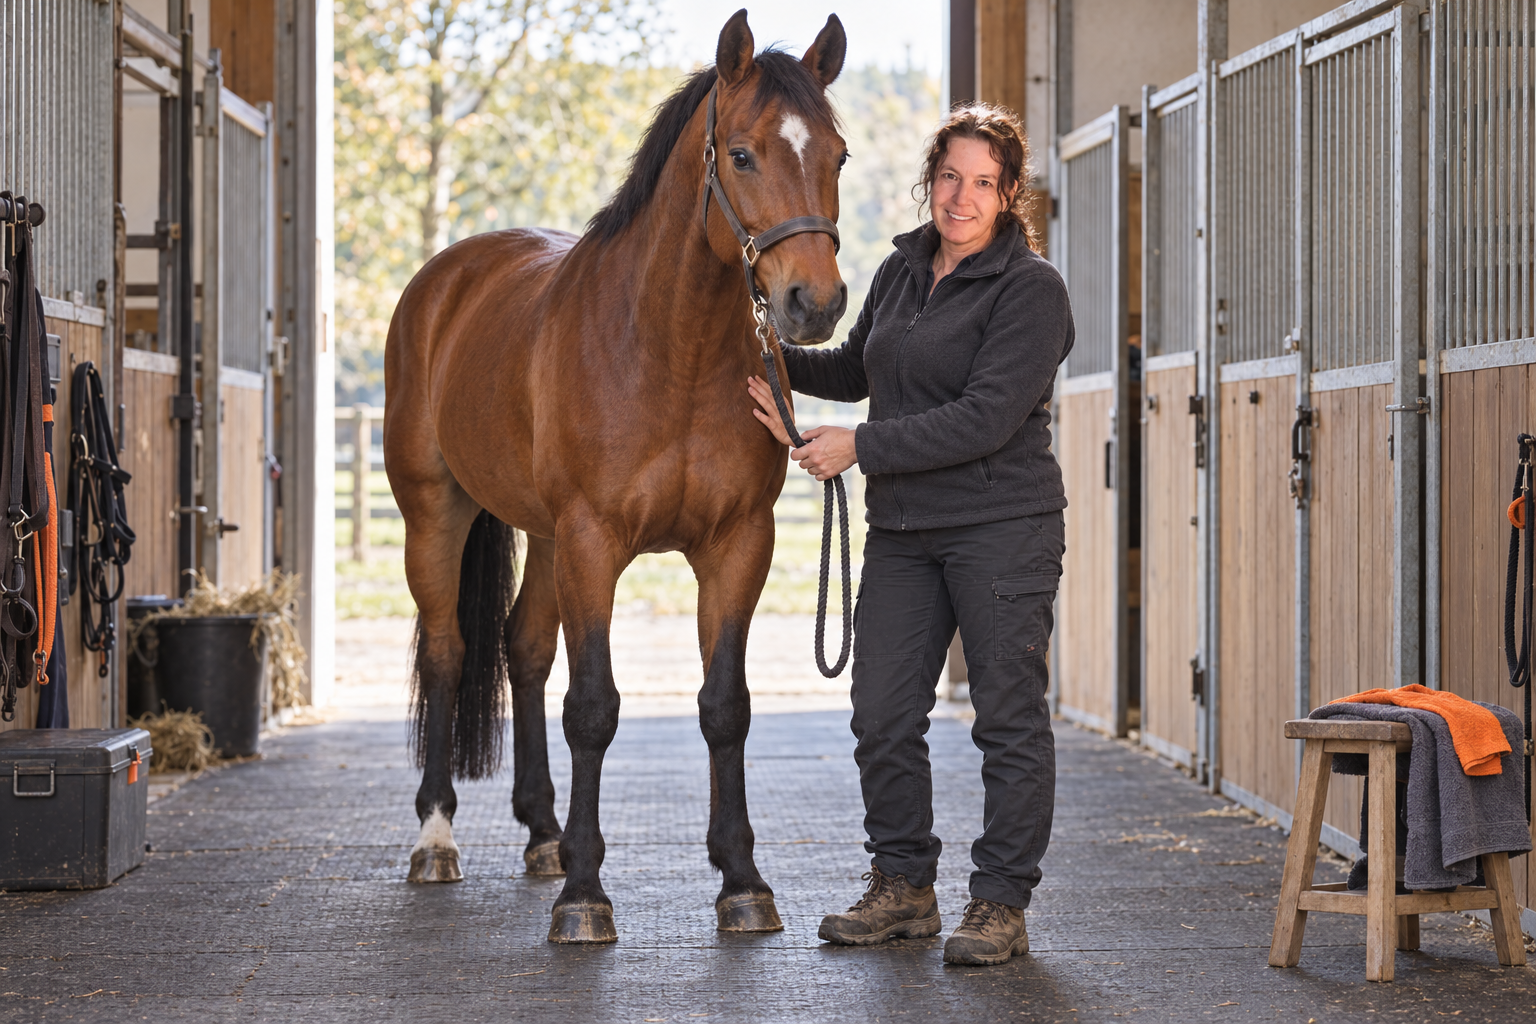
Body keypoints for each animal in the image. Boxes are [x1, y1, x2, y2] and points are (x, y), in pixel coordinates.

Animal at [383, 9, 849, 944]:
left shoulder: (737, 545)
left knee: (522, 650)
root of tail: (446, 280)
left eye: (839, 155)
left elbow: (724, 705)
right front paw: (585, 897)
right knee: (451, 652)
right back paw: (437, 839)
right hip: (435, 514)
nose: (813, 305)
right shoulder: (595, 541)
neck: (670, 349)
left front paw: (742, 881)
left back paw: (542, 834)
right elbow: (593, 707)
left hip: (543, 536)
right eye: (741, 154)